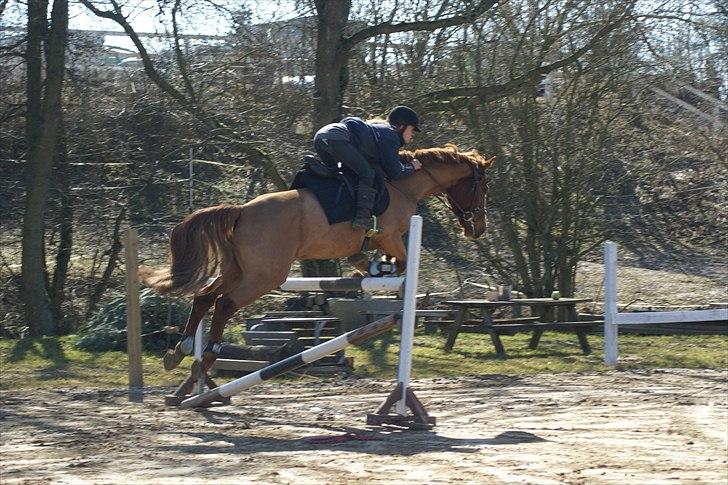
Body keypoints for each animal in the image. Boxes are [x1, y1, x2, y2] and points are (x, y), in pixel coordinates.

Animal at [141, 144, 494, 370]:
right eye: (482, 188)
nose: (478, 228)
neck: (401, 184)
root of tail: (241, 211)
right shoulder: (390, 236)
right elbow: (403, 261)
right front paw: (381, 270)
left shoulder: (373, 242)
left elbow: (370, 260)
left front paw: (371, 269)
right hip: (265, 275)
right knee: (225, 304)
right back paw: (210, 354)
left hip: (238, 269)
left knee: (204, 297)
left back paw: (181, 350)